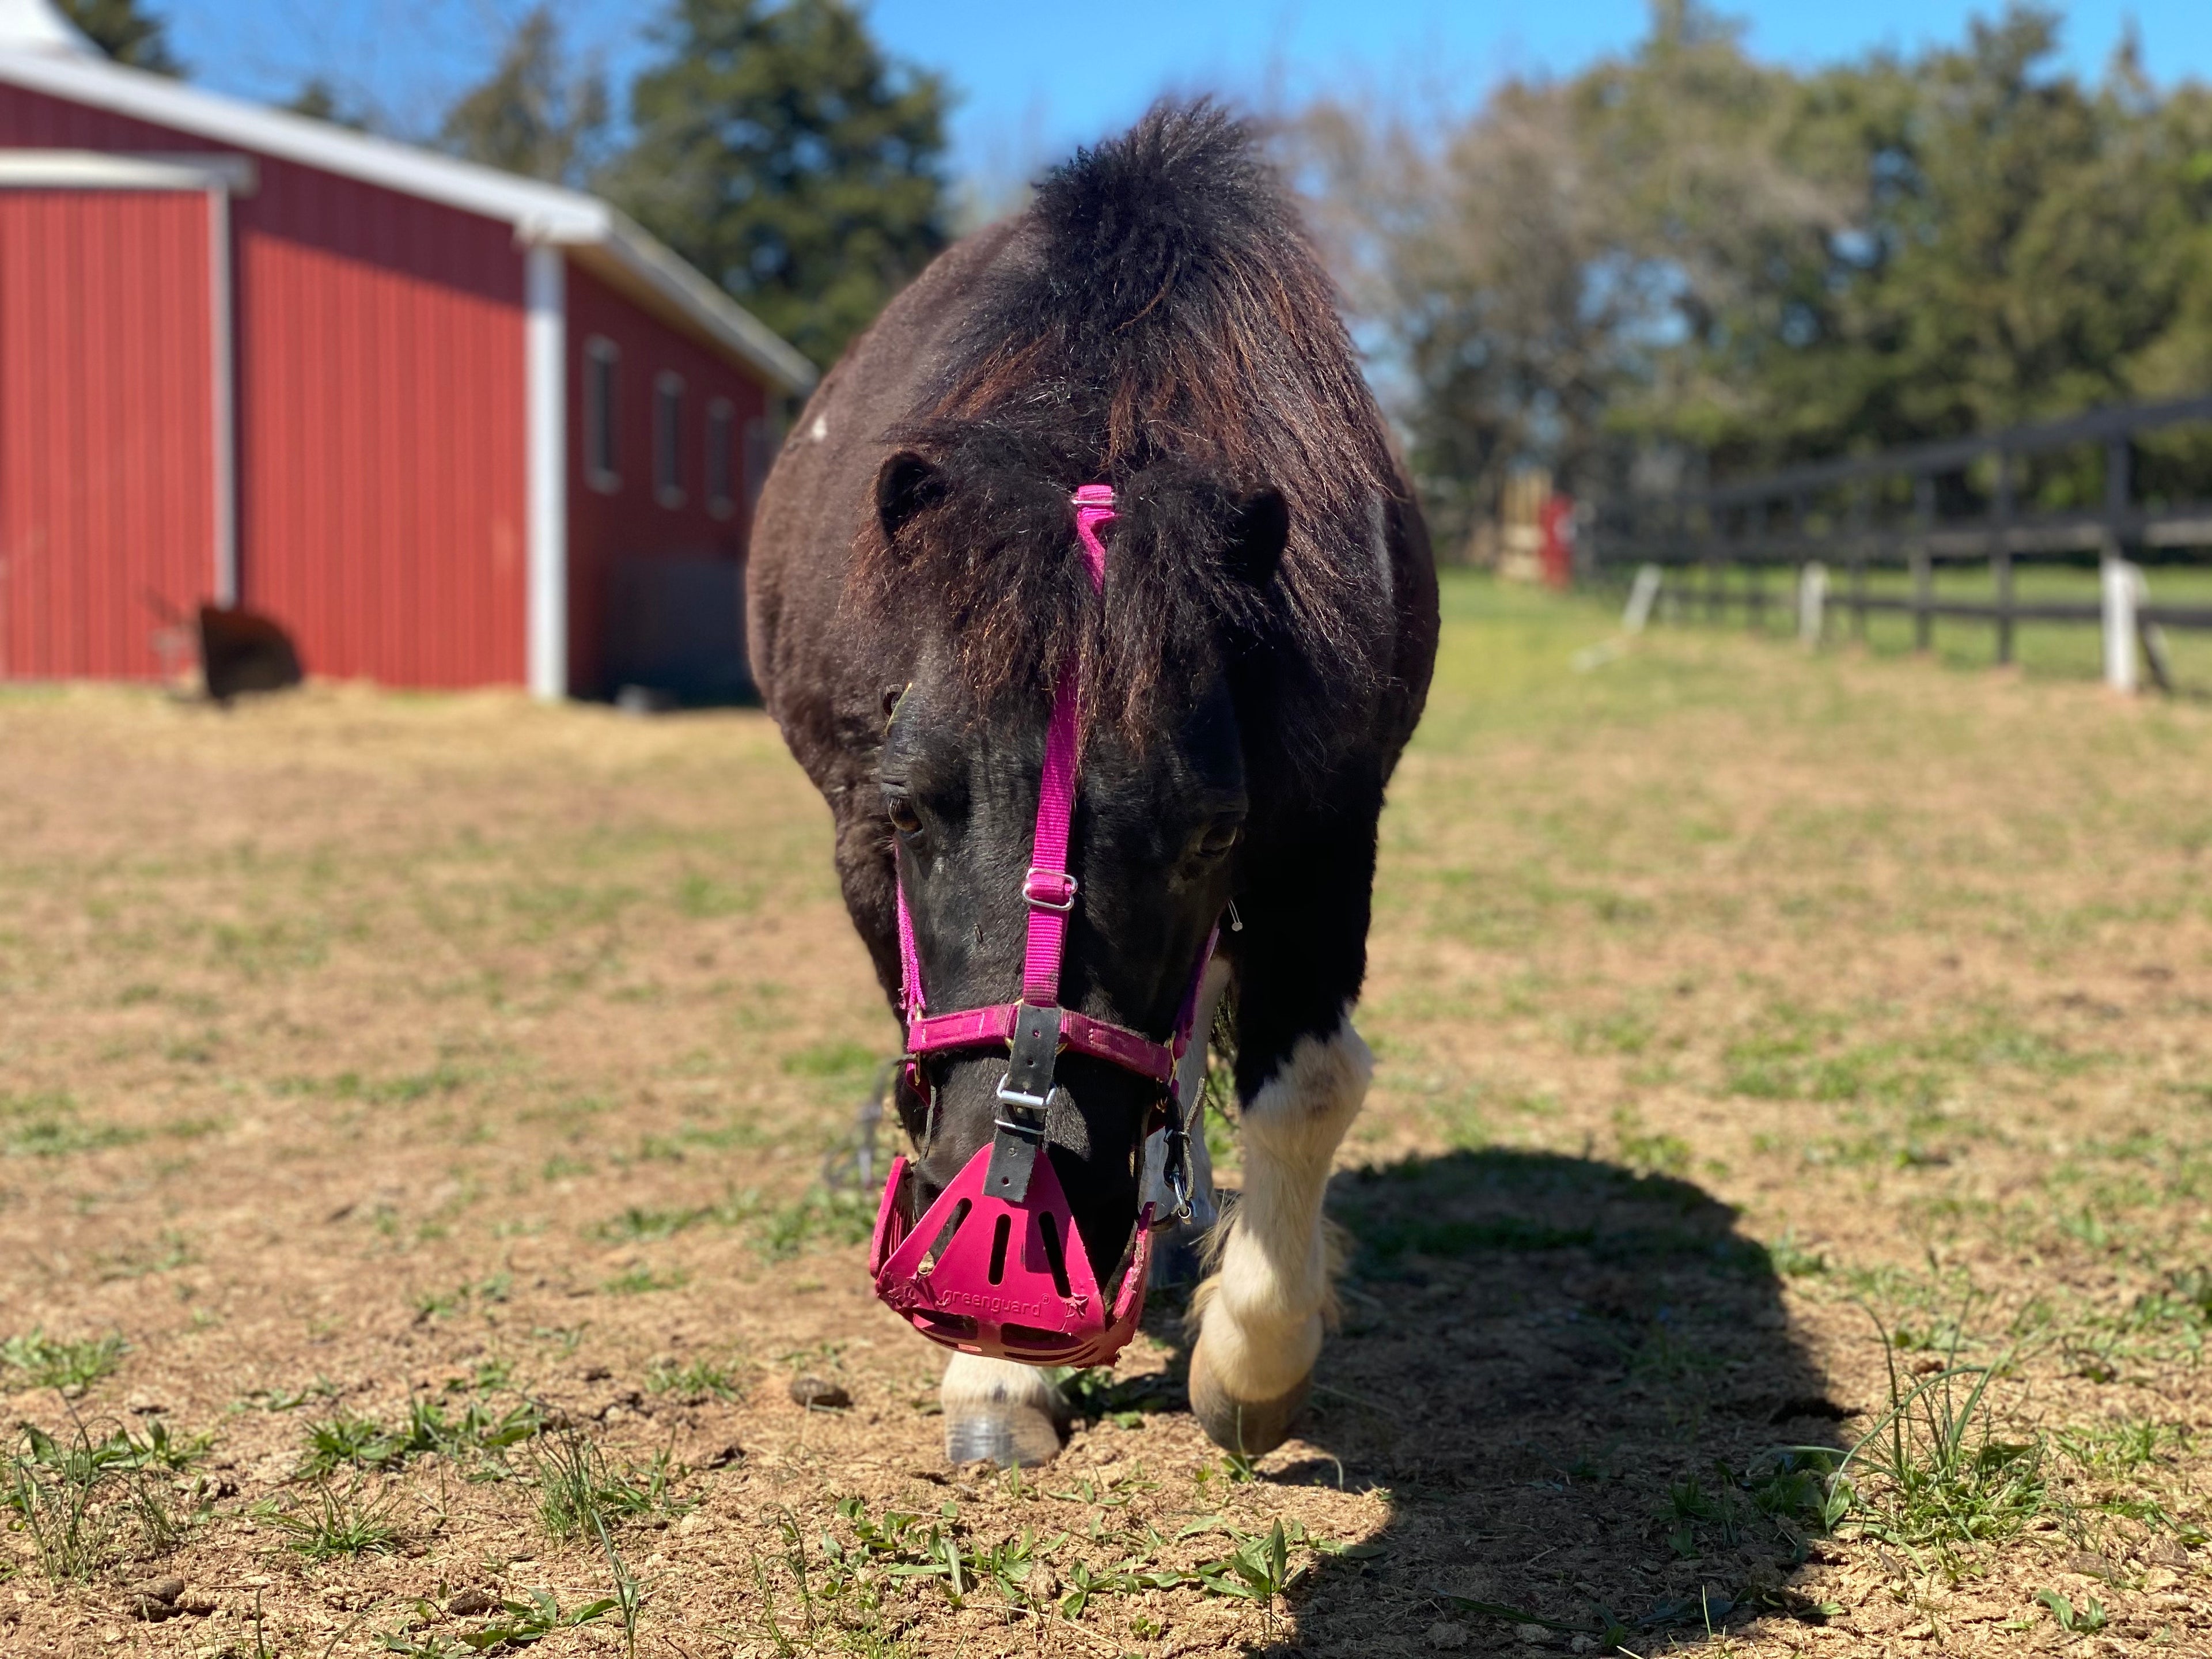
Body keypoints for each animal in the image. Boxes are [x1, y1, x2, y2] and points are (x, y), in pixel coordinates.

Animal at [747, 100, 1433, 1468]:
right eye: (908, 804)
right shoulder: (860, 851)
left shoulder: (1327, 830)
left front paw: (1252, 1357)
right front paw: (995, 1378)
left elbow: (1310, 1083)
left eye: (1213, 831)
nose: (1007, 1263)